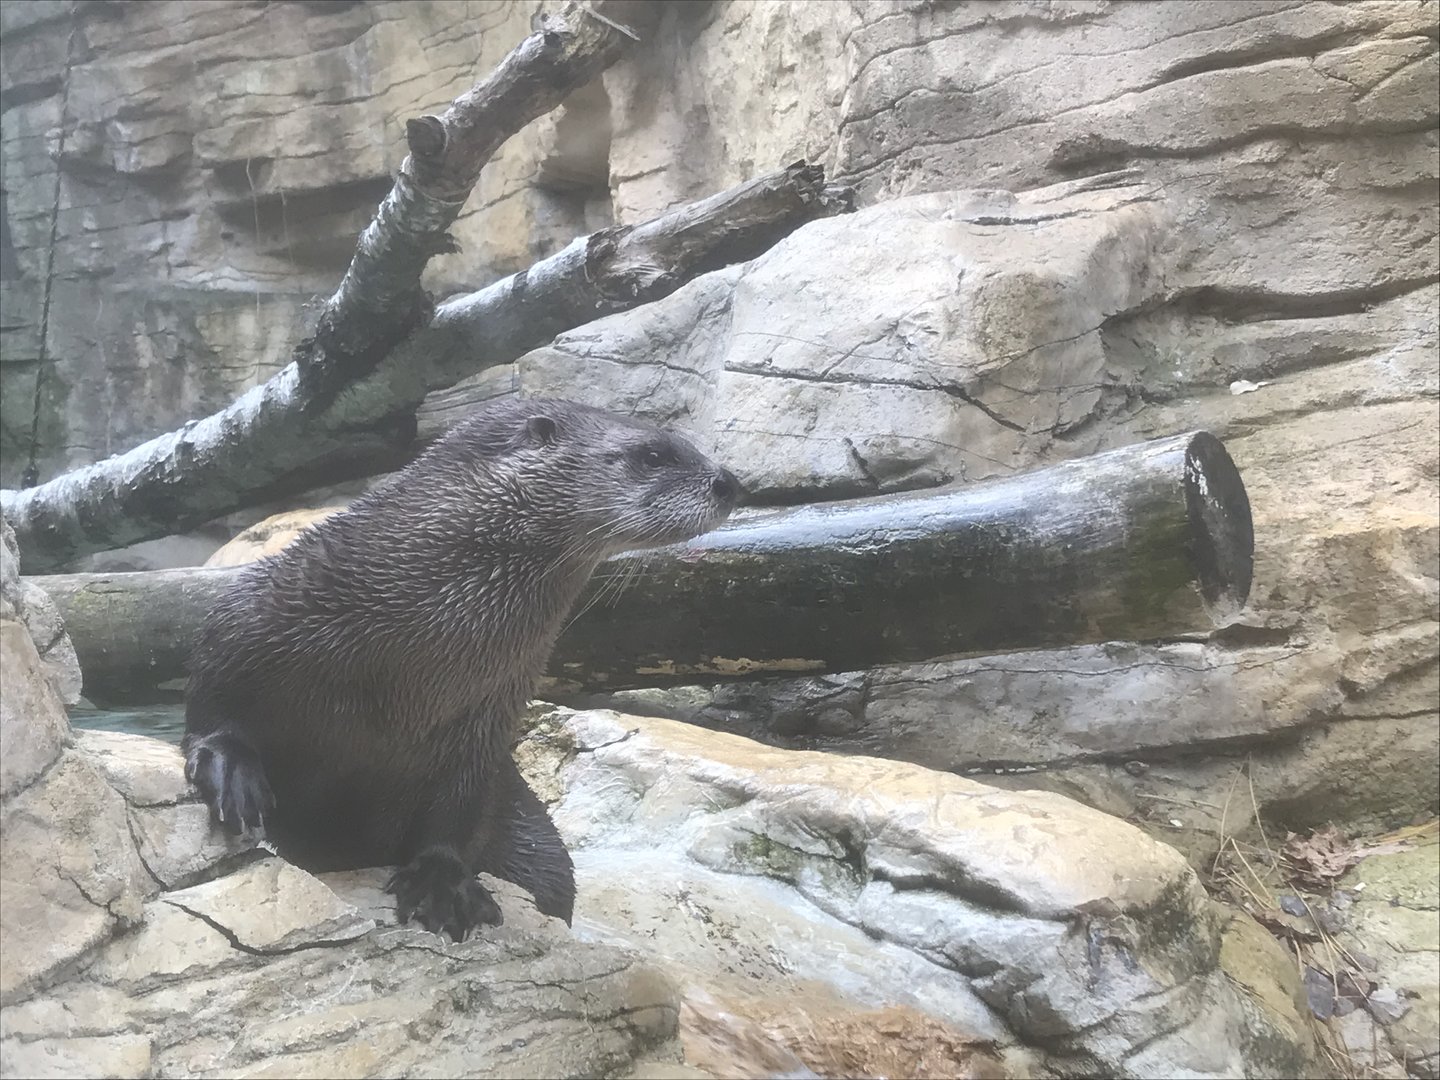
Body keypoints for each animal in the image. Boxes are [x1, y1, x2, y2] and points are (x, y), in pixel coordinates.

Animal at [182, 398, 739, 940]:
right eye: (653, 455)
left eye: (688, 446)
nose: (730, 482)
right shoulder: (256, 613)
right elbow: (212, 694)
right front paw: (227, 763)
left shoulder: (487, 717)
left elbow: (458, 807)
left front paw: (441, 883)